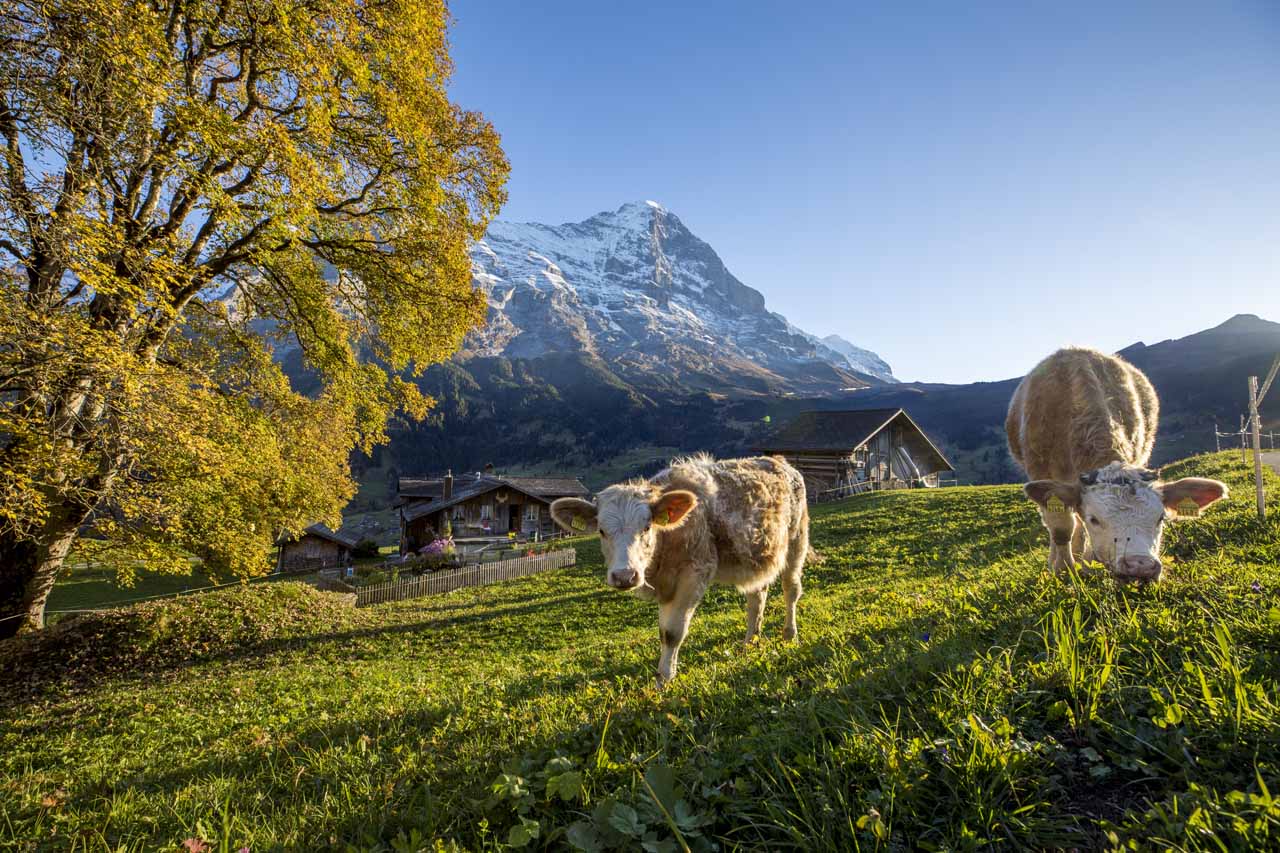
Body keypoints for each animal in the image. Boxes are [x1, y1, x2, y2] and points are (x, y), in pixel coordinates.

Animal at [550, 454, 809, 687]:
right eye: (602, 531)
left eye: (647, 527)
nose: (625, 576)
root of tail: (779, 460)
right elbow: (663, 632)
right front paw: (662, 676)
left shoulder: (694, 575)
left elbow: (674, 632)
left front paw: (664, 679)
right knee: (757, 598)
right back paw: (750, 641)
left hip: (797, 542)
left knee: (791, 590)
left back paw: (790, 634)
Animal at [1006, 346, 1227, 581]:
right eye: (1094, 519)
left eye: (1161, 518)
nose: (1140, 565)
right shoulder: (1041, 471)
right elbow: (1060, 528)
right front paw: (1063, 569)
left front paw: (1086, 563)